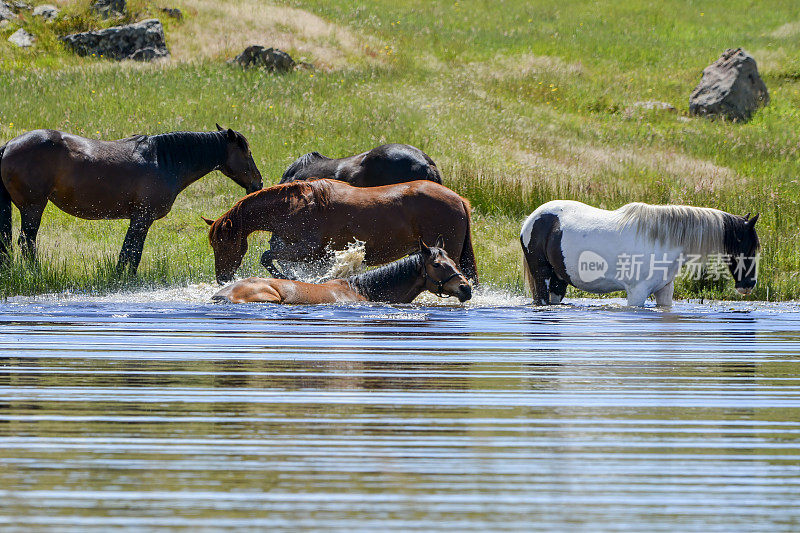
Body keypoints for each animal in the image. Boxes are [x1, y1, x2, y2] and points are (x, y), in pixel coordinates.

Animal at [203, 178, 478, 286]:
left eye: (223, 244)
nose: (222, 279)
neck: (296, 206)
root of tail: (459, 199)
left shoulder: (309, 250)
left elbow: (267, 257)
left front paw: (287, 279)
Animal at [520, 201, 760, 308]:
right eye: (749, 248)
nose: (748, 285)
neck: (664, 240)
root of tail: (531, 219)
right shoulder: (637, 293)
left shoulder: (664, 291)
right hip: (542, 276)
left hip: (559, 281)